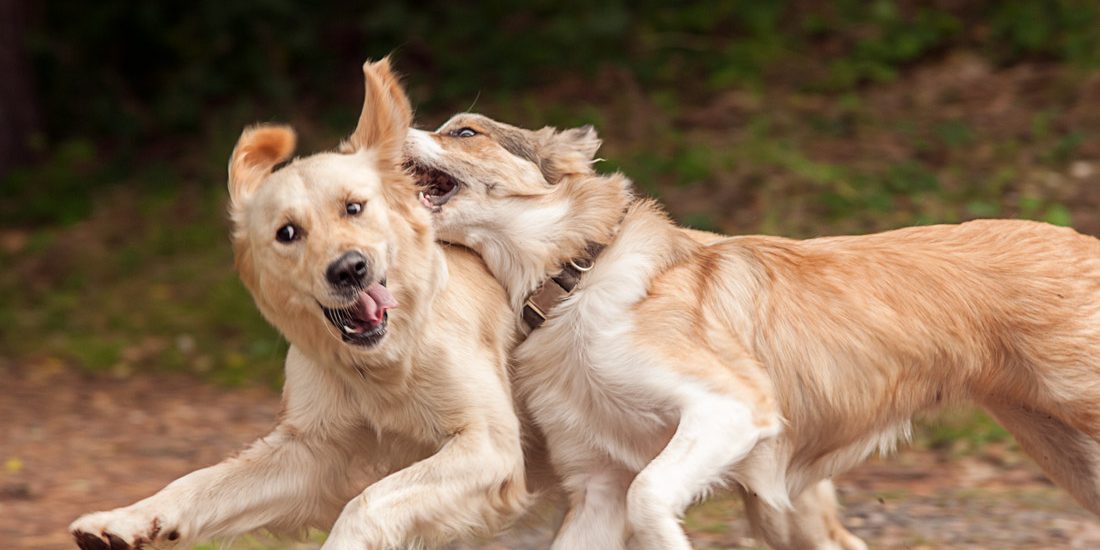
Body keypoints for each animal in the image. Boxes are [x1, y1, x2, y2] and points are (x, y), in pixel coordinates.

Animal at [69, 62, 532, 550]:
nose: (349, 270)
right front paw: (126, 519)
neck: (380, 365)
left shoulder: (488, 443)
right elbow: (200, 482)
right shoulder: (309, 452)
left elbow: (368, 500)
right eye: (287, 232)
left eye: (354, 207)